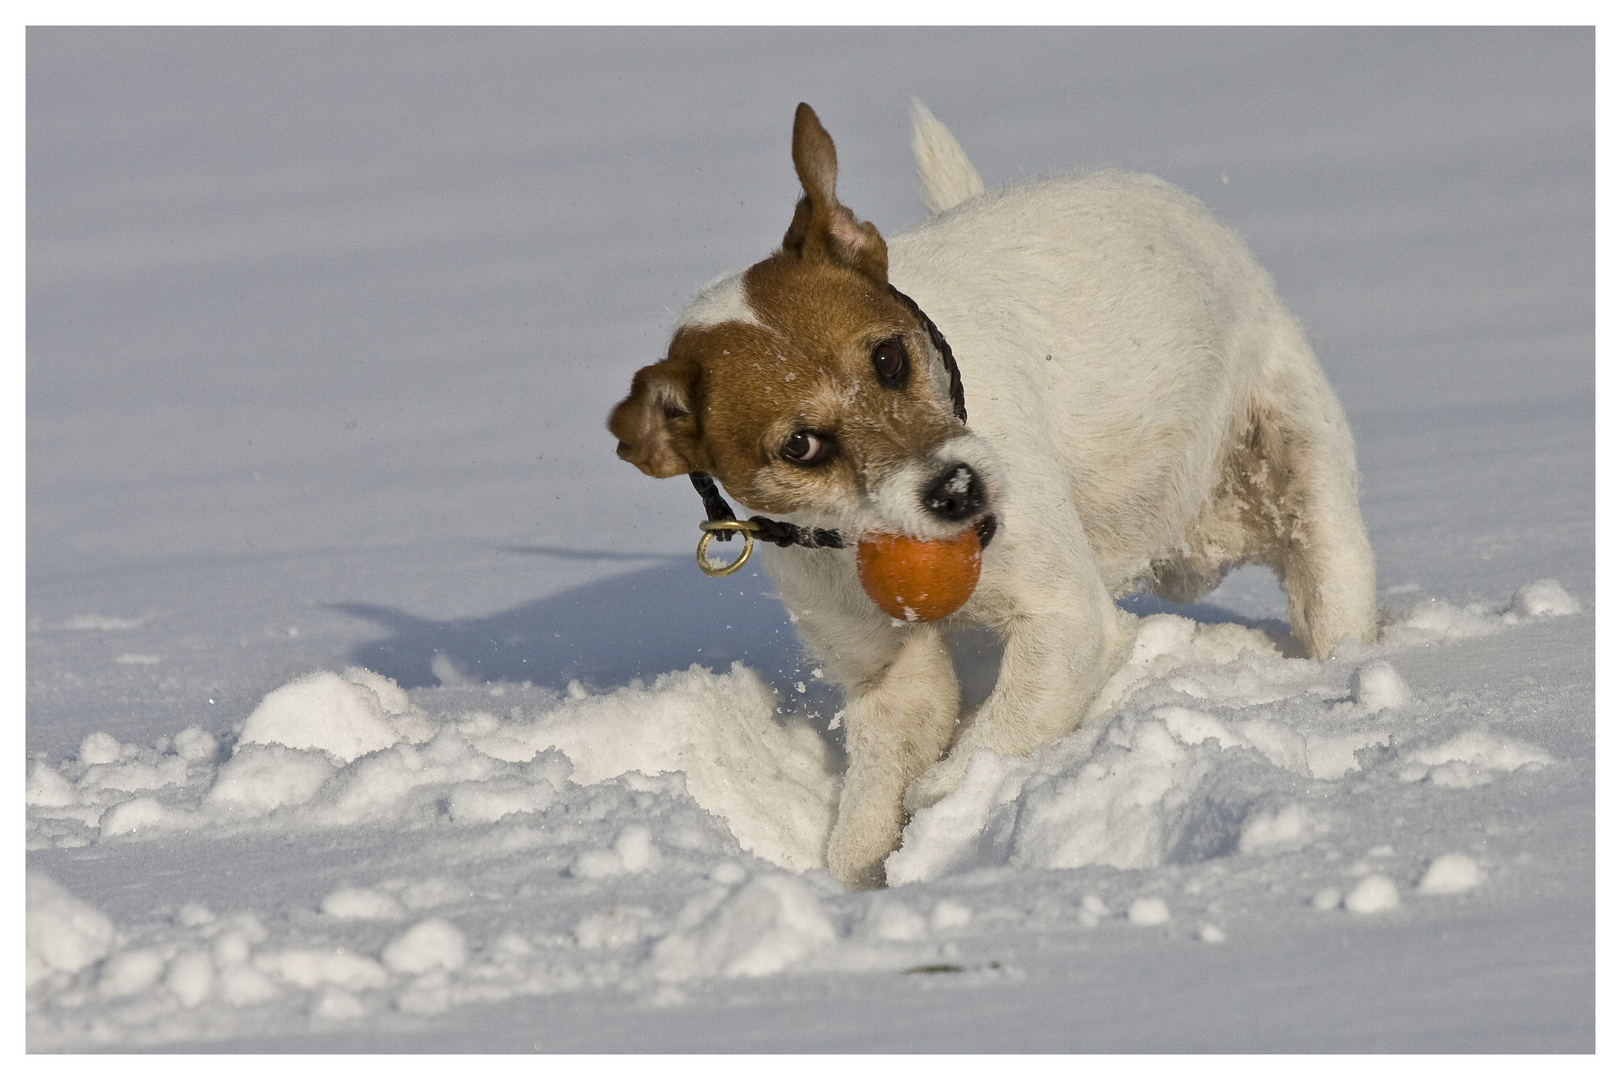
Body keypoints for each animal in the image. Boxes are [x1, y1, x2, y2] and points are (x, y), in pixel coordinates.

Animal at [612, 100, 1374, 888]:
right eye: (800, 446)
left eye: (889, 357)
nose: (957, 488)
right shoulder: (887, 672)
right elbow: (874, 800)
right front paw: (857, 879)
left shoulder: (1065, 620)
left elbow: (998, 731)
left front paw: (948, 794)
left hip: (1299, 476)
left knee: (1330, 589)